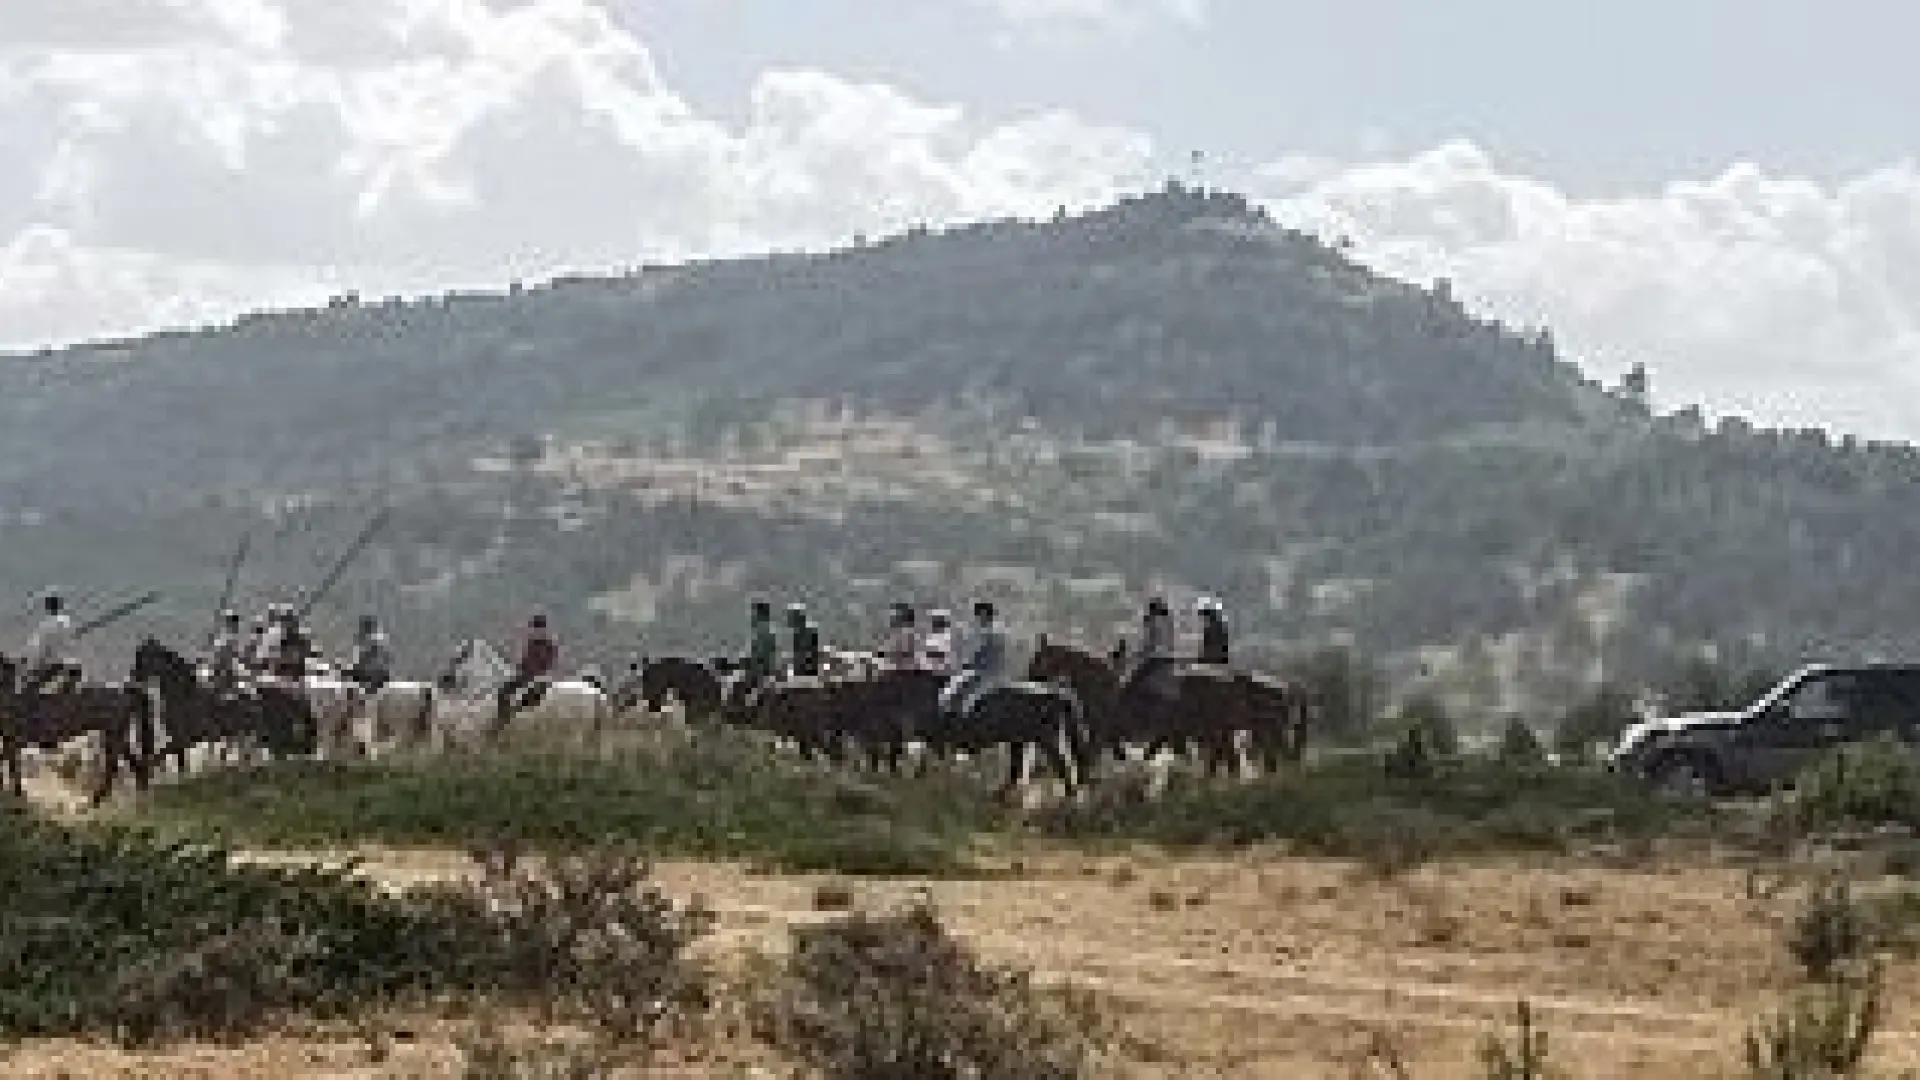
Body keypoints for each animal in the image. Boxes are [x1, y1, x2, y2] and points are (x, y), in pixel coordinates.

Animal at [0, 645, 151, 799]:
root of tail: (127, 692)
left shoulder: (16, 740)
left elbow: (10, 764)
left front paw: (16, 792)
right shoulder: (11, 740)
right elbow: (10, 765)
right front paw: (15, 791)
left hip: (113, 735)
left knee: (113, 765)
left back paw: (100, 796)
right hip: (116, 734)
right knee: (131, 761)